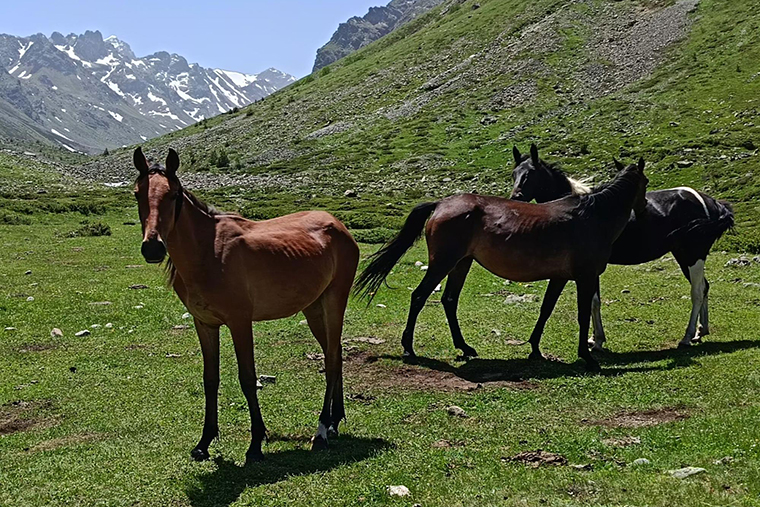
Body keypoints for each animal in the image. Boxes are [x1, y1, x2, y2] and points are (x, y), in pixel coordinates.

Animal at [134, 148, 360, 464]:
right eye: (137, 193)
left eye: (174, 194)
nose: (152, 247)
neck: (208, 252)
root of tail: (339, 225)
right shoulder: (205, 324)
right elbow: (210, 379)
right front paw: (204, 442)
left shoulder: (240, 323)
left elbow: (247, 378)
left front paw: (255, 444)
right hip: (314, 308)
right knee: (335, 354)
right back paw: (334, 421)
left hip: (334, 301)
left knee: (330, 360)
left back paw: (321, 430)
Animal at [356, 159, 648, 370]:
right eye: (645, 181)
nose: (644, 208)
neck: (593, 215)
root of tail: (440, 204)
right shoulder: (585, 276)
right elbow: (583, 314)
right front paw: (586, 356)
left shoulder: (561, 277)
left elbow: (546, 309)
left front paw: (535, 349)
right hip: (443, 263)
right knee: (419, 296)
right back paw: (409, 347)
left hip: (461, 264)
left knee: (449, 300)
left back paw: (465, 347)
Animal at [508, 145, 732, 352]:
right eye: (514, 173)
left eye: (529, 174)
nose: (515, 198)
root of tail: (710, 202)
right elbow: (594, 301)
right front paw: (595, 339)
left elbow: (592, 302)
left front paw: (596, 341)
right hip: (684, 255)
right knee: (704, 287)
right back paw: (700, 331)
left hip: (694, 255)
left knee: (697, 291)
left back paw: (687, 336)